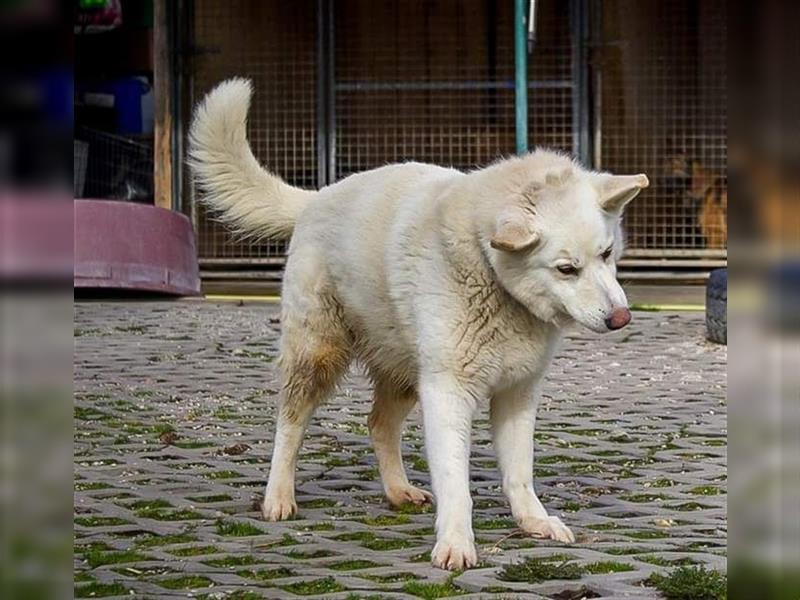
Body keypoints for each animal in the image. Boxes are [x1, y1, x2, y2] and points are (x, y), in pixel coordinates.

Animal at [189, 79, 648, 572]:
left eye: (606, 253)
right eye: (566, 269)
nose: (621, 318)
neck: (491, 273)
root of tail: (320, 194)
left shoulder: (517, 393)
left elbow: (519, 474)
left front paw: (534, 522)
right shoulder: (447, 394)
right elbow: (456, 483)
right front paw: (456, 543)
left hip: (405, 371)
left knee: (378, 424)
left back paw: (397, 492)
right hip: (318, 354)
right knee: (289, 423)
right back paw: (278, 496)